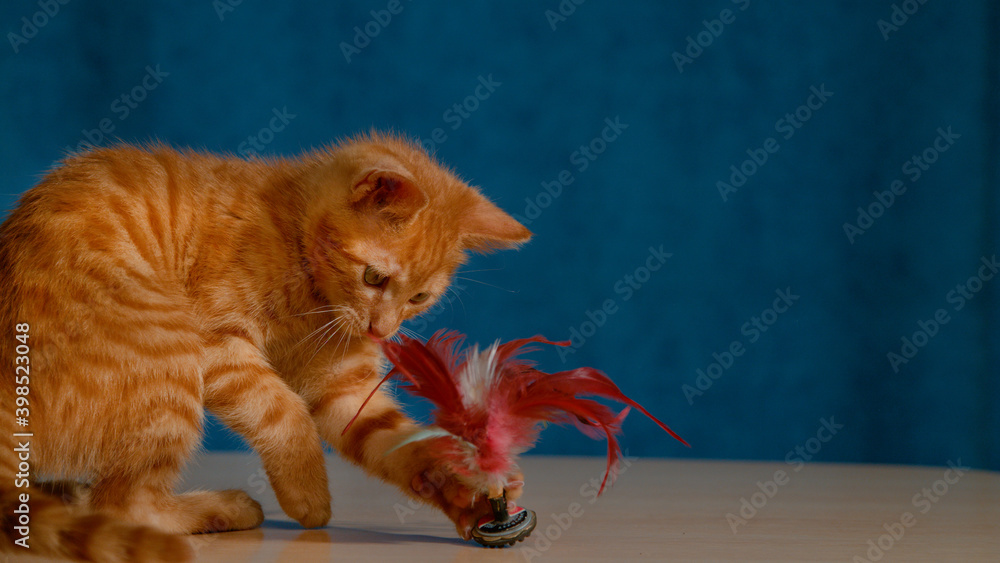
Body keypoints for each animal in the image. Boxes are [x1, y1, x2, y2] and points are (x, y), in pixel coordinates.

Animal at [0, 134, 532, 560]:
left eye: (419, 297)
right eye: (374, 278)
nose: (381, 332)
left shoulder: (344, 388)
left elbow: (393, 437)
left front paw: (469, 486)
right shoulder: (215, 340)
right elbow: (285, 411)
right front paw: (307, 493)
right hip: (166, 350)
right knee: (124, 505)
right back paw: (220, 508)